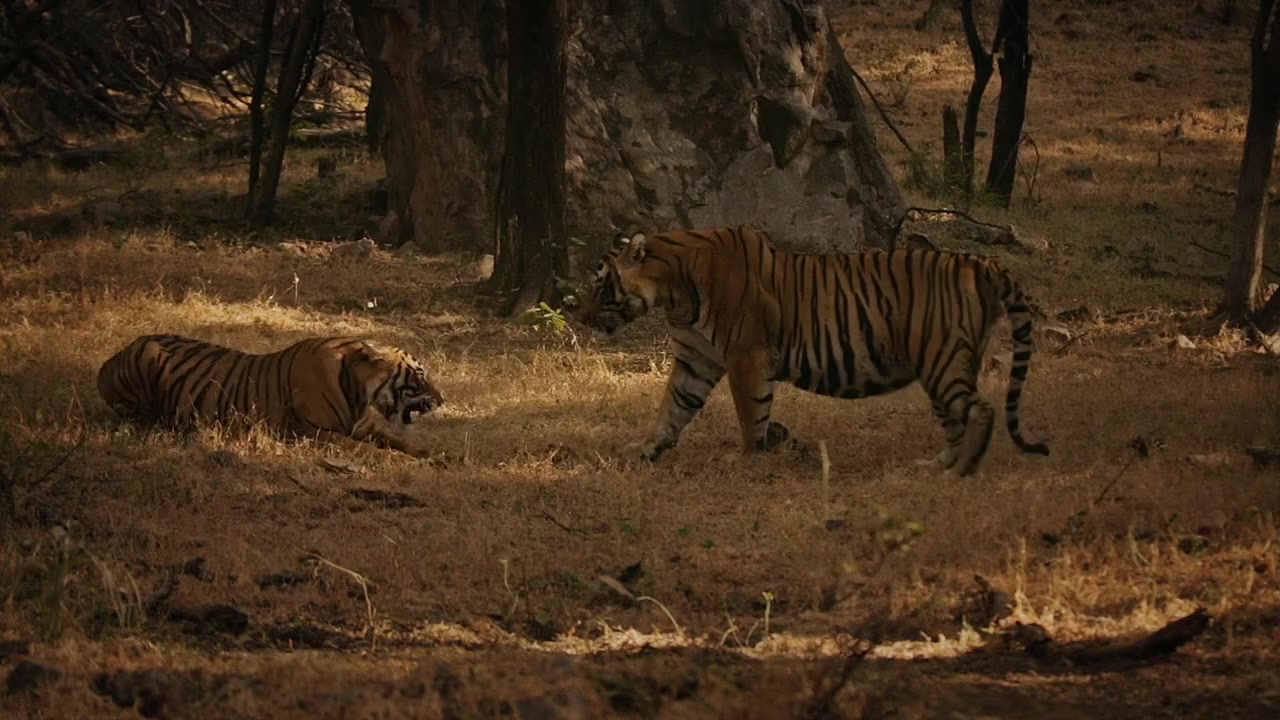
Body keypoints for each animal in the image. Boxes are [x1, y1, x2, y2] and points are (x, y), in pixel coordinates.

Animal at [97, 335, 445, 456]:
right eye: (420, 376)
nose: (443, 400)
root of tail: (111, 359)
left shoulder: (361, 426)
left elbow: (399, 441)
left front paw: (440, 455)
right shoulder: (313, 432)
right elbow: (373, 450)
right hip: (146, 363)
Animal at [577, 224, 1049, 476]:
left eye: (600, 286)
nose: (580, 318)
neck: (673, 293)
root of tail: (982, 262)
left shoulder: (746, 355)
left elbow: (750, 412)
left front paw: (747, 460)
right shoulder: (697, 359)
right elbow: (671, 409)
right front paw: (646, 450)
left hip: (942, 360)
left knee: (982, 410)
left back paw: (963, 470)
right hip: (943, 365)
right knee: (956, 419)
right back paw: (937, 466)